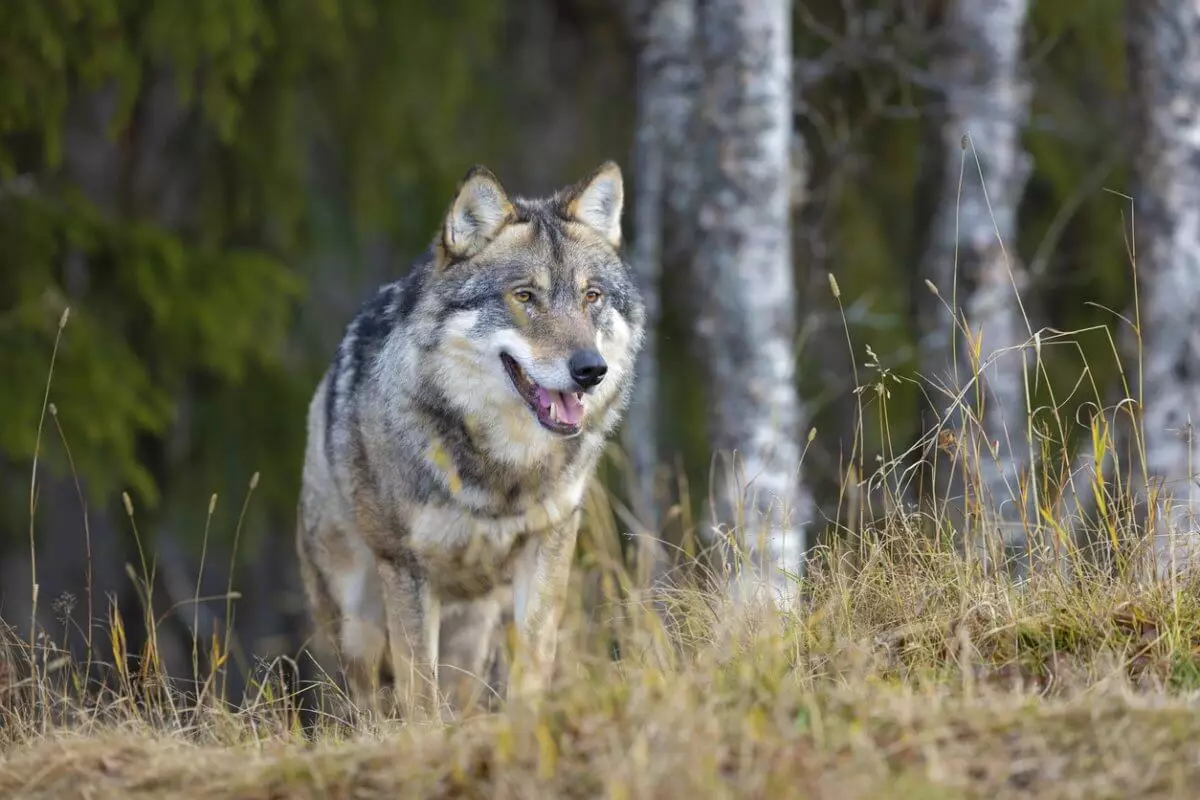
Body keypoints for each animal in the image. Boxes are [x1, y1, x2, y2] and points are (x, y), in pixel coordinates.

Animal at [294, 159, 643, 714]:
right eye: (525, 296)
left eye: (592, 296)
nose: (591, 370)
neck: (504, 470)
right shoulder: (407, 568)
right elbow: (419, 690)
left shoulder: (550, 544)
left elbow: (535, 658)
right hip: (356, 622)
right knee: (362, 701)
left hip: (472, 634)